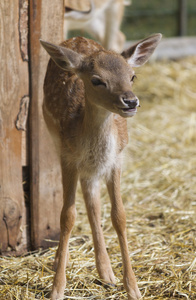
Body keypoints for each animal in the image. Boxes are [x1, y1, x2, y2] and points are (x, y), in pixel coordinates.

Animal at [40, 33, 162, 300]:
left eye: (132, 76)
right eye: (96, 80)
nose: (131, 101)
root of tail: (77, 37)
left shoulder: (116, 161)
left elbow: (119, 216)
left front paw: (133, 288)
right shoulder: (68, 158)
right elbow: (67, 216)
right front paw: (57, 289)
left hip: (93, 170)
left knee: (93, 203)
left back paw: (106, 272)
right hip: (55, 141)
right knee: (85, 203)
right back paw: (63, 261)